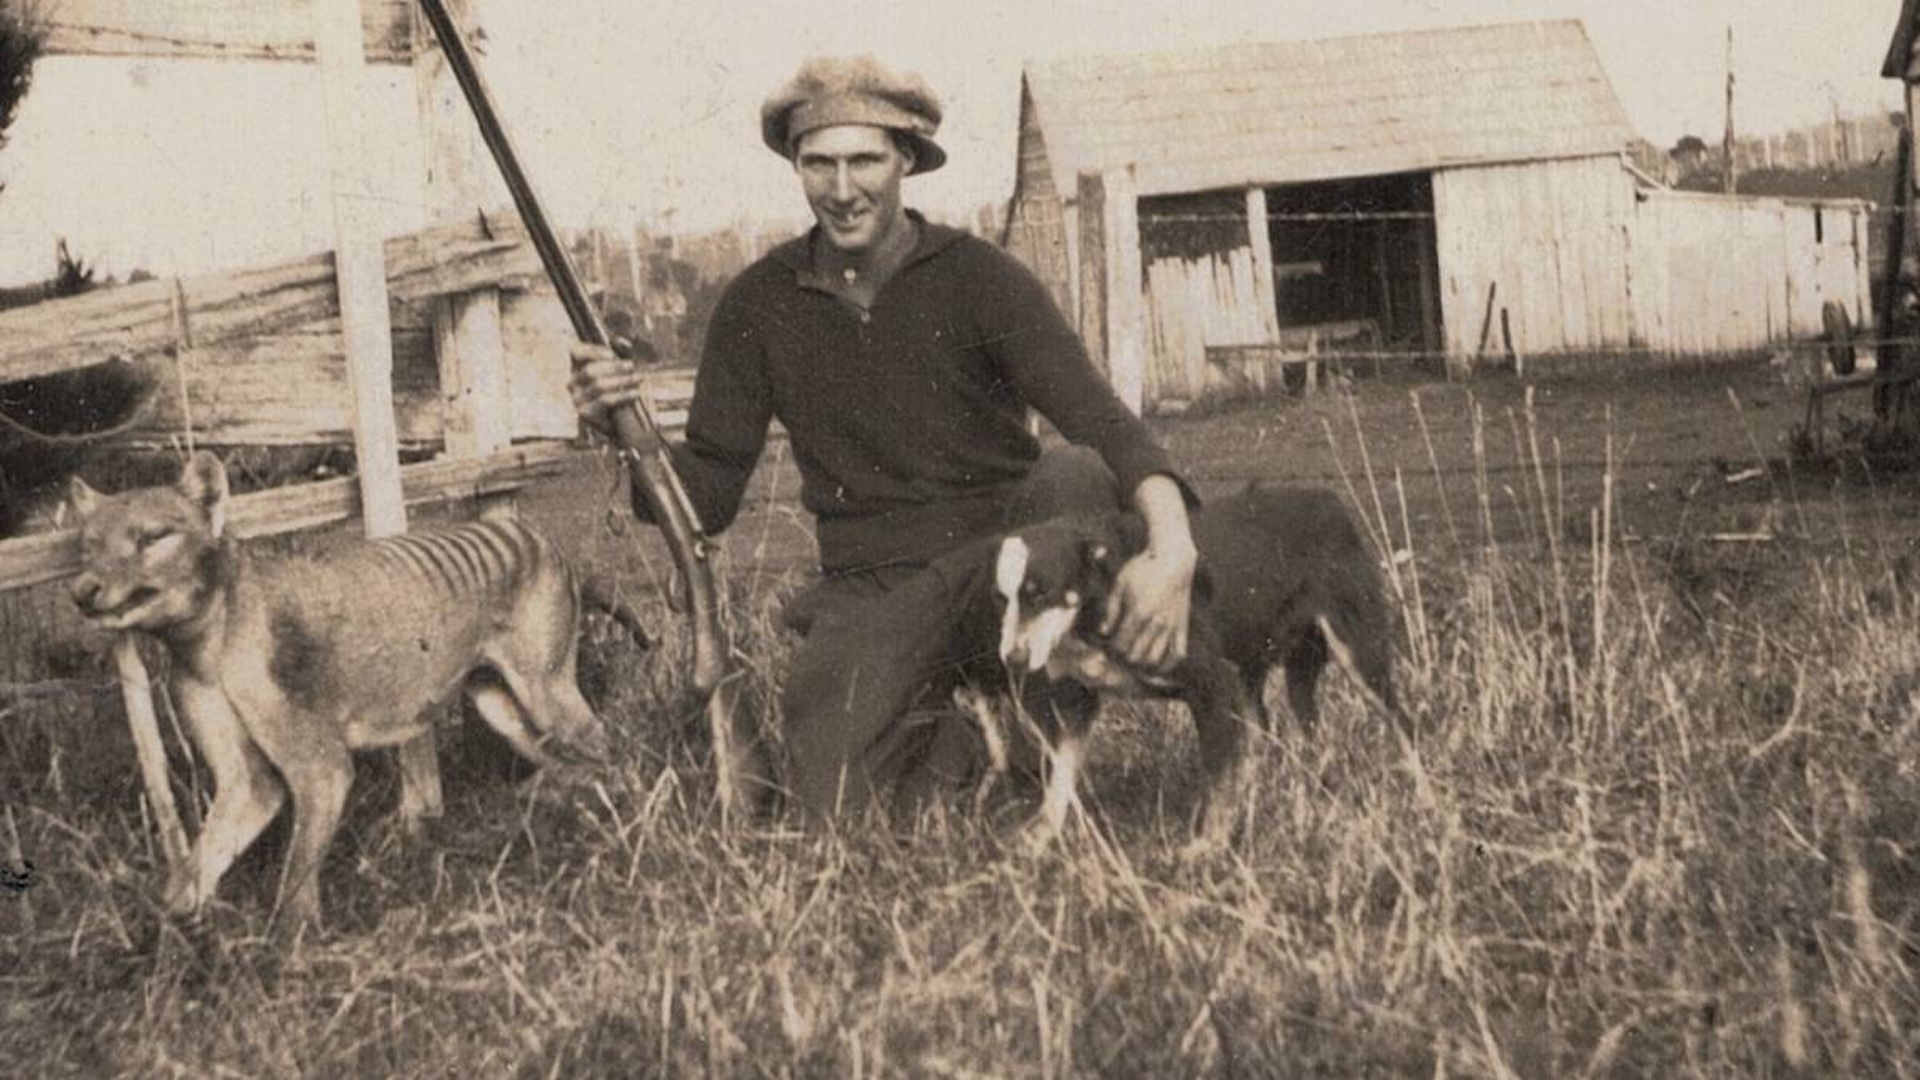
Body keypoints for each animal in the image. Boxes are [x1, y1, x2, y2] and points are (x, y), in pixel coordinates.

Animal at [983, 484, 1405, 845]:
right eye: (1002, 599)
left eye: (1041, 594)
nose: (1012, 659)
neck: (1103, 595)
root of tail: (1329, 500)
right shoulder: (1077, 703)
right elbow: (1061, 773)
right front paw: (1042, 832)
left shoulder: (1213, 684)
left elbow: (1216, 779)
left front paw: (1208, 845)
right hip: (1255, 674)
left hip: (1358, 653)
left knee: (1402, 721)